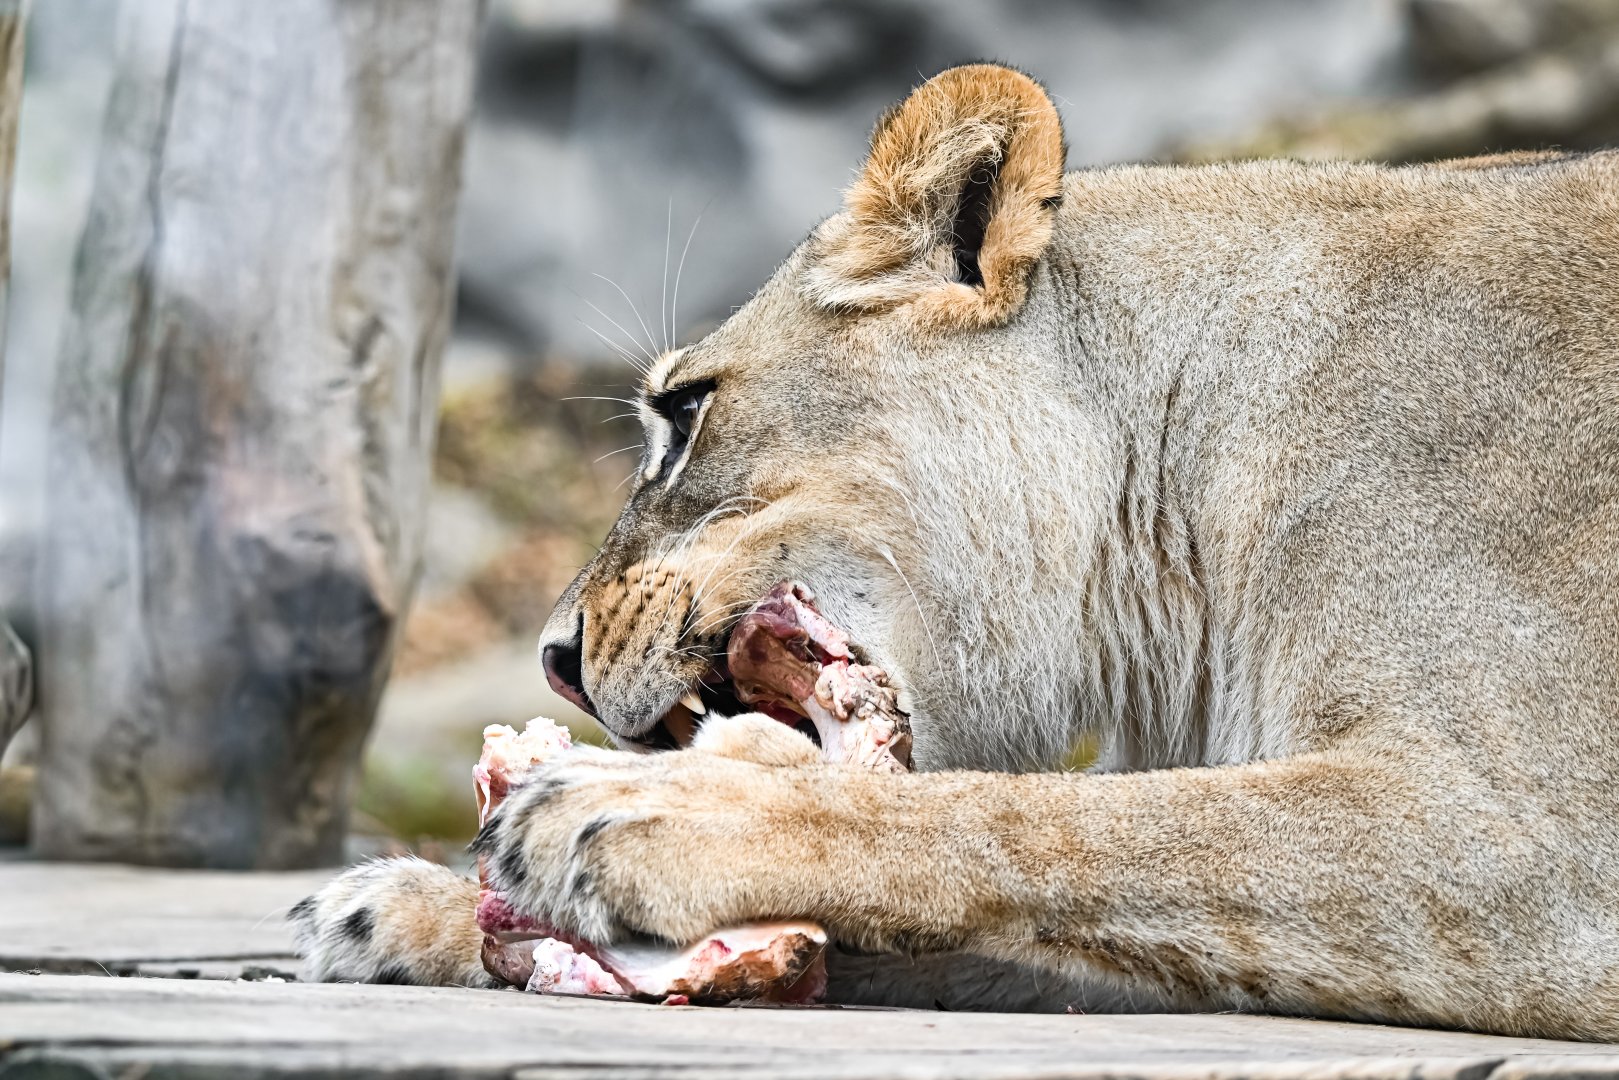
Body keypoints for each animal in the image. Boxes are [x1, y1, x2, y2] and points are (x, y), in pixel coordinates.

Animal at [293, 64, 1619, 1039]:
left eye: (683, 411)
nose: (554, 658)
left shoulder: (1535, 851)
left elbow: (1058, 823)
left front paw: (650, 810)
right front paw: (411, 908)